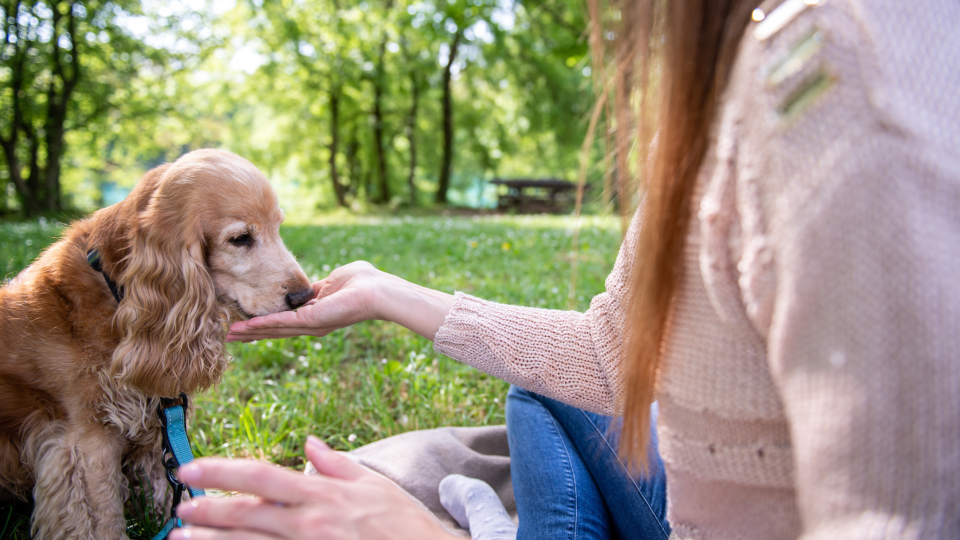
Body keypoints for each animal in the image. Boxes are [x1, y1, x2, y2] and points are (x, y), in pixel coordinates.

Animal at [0, 150, 314, 536]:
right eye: (240, 239)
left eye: (277, 228)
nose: (304, 295)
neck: (120, 296)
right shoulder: (82, 442)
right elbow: (102, 520)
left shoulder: (156, 428)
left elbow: (172, 494)